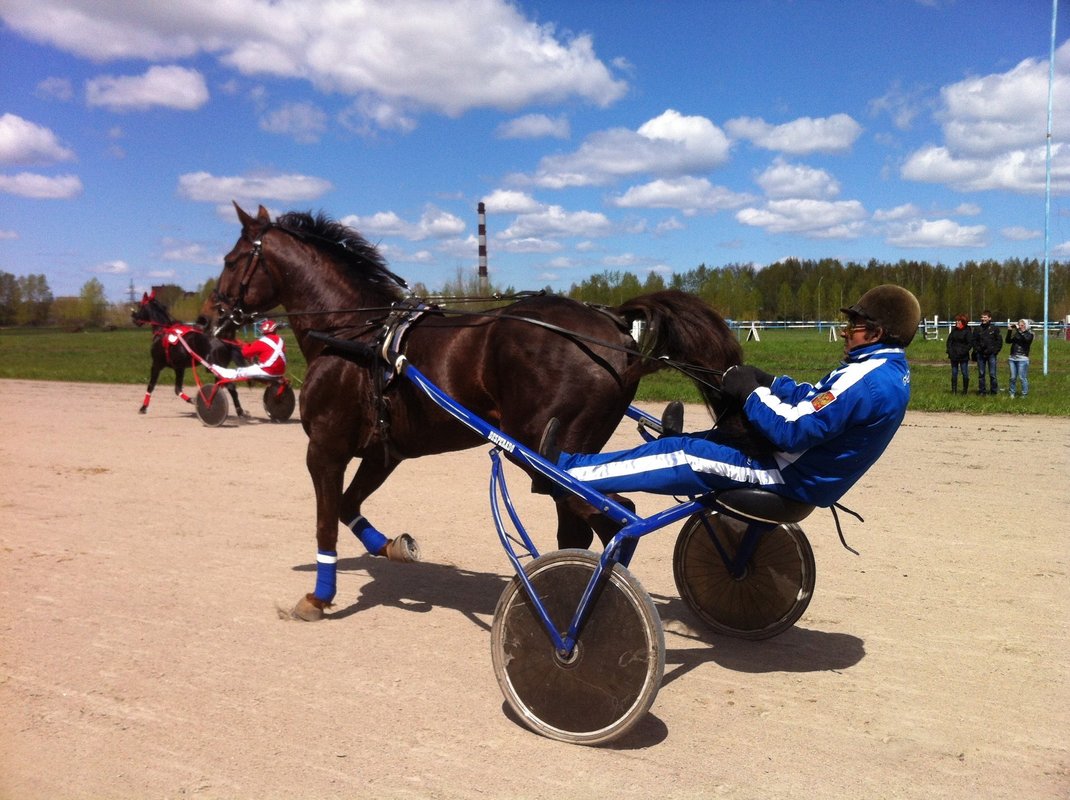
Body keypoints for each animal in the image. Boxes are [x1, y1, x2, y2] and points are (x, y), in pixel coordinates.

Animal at [206, 204, 744, 620]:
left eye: (231, 260)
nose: (211, 314)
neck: (355, 335)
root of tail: (613, 328)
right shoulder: (383, 452)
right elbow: (348, 507)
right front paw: (393, 546)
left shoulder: (325, 447)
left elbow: (326, 519)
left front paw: (319, 597)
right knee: (581, 525)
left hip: (545, 454)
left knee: (615, 519)